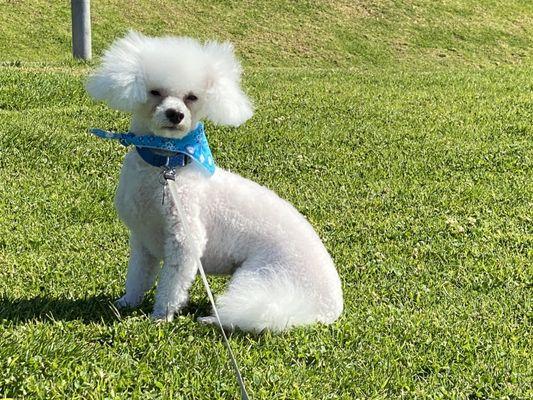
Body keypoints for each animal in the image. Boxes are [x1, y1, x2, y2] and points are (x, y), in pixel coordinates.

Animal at [85, 30, 342, 332]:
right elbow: (138, 276)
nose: (176, 114)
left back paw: (210, 318)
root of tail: (328, 308)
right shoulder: (142, 241)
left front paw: (161, 316)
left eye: (192, 97)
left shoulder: (185, 239)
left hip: (263, 276)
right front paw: (126, 302)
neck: (167, 165)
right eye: (155, 92)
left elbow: (172, 283)